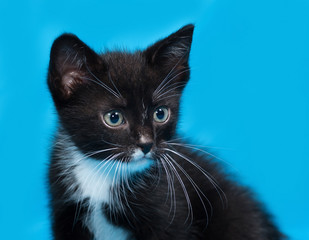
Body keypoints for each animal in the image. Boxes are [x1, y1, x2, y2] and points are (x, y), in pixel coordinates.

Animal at [47, 24, 282, 240]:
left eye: (160, 114)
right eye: (114, 118)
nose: (146, 144)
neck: (103, 173)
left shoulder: (169, 213)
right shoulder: (65, 213)